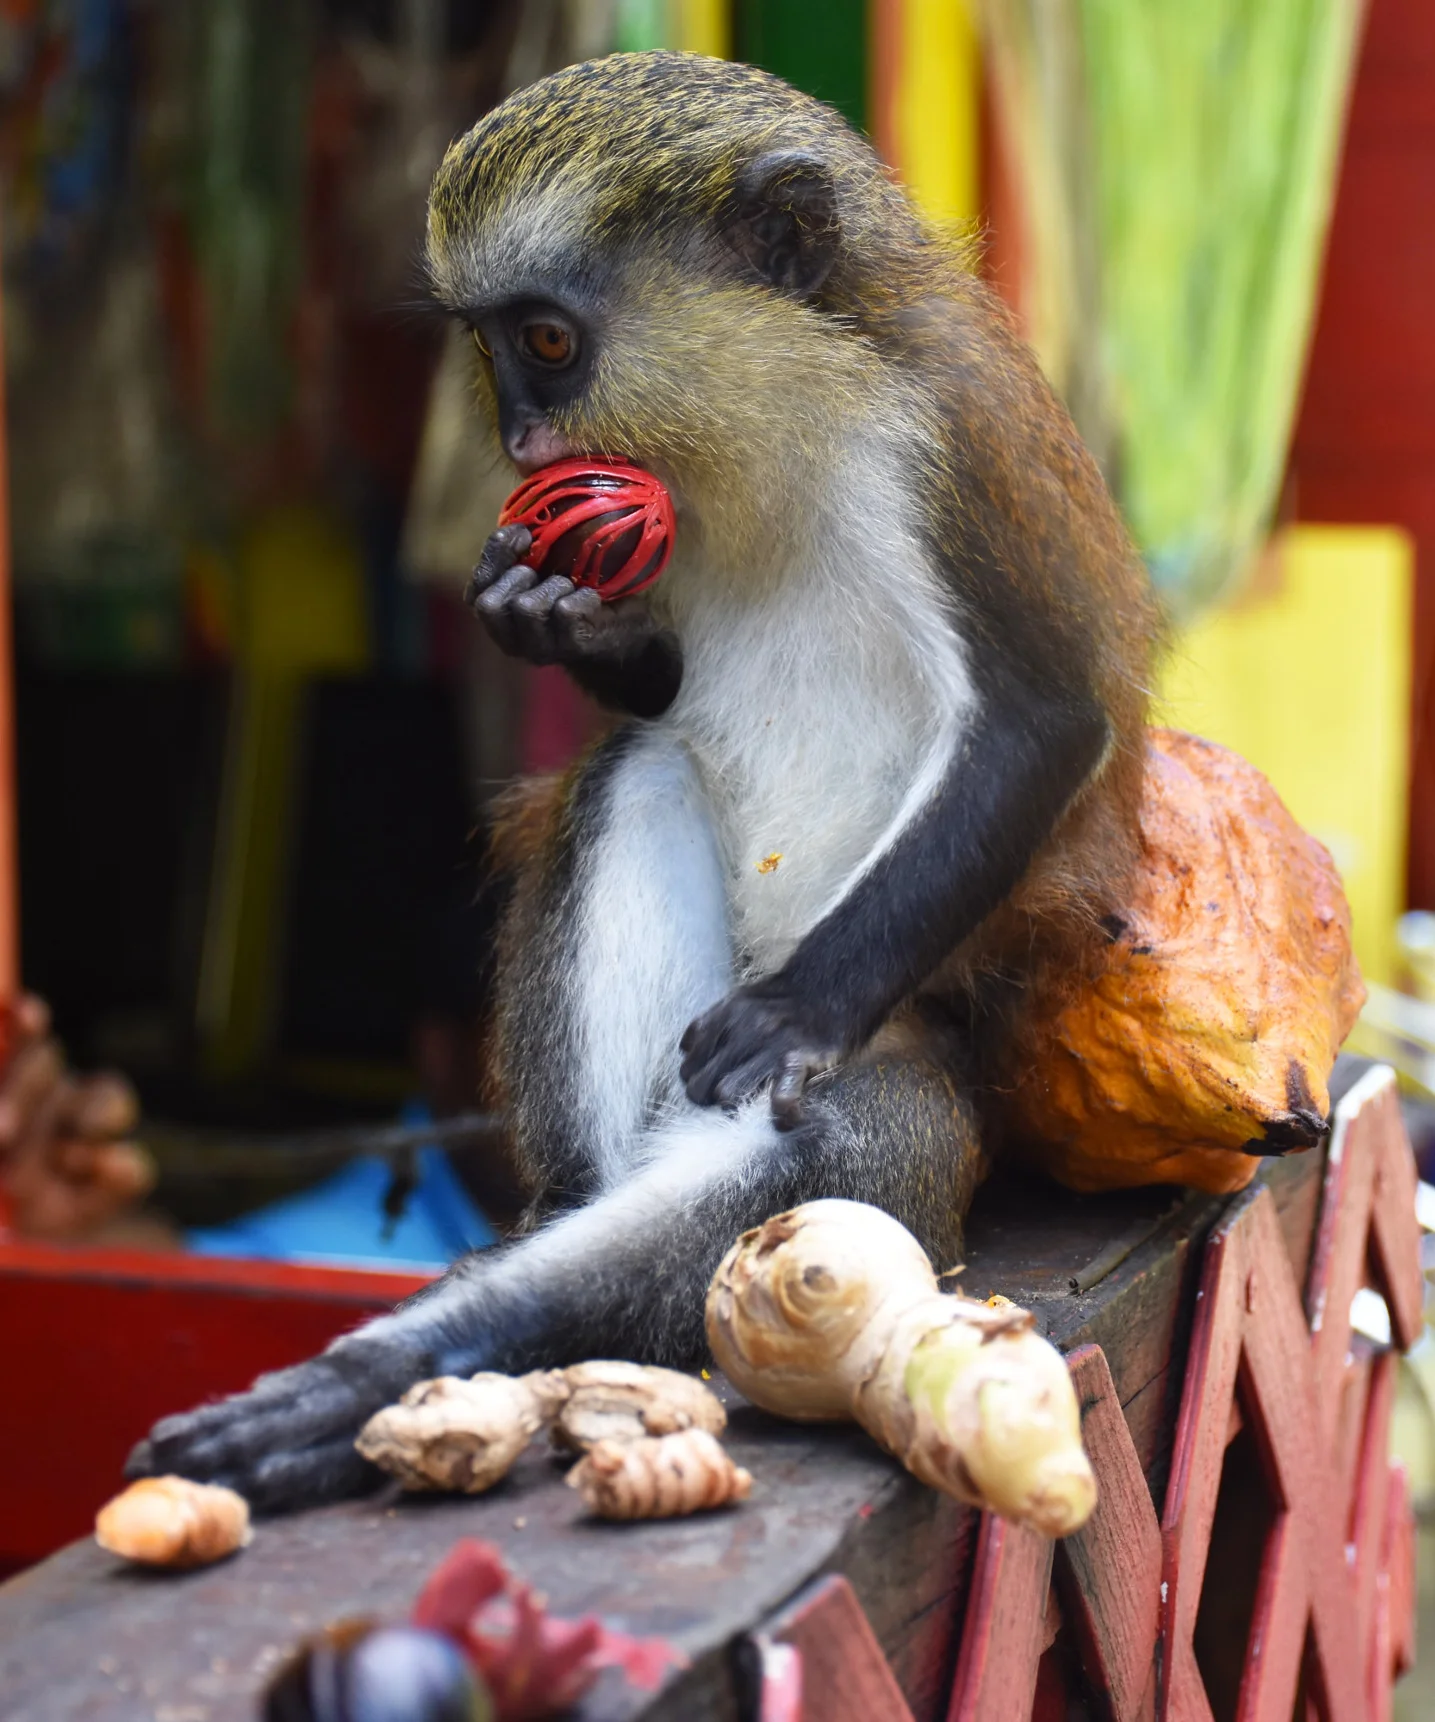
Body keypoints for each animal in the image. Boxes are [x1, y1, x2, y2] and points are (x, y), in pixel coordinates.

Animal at [129, 52, 1159, 1512]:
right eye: (487, 346)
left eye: (549, 343)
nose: (518, 439)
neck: (790, 408)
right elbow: (653, 705)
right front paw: (549, 618)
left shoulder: (954, 440)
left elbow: (1040, 717)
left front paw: (791, 1012)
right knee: (640, 770)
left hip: (917, 1060)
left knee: (823, 1153)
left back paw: (384, 1379)